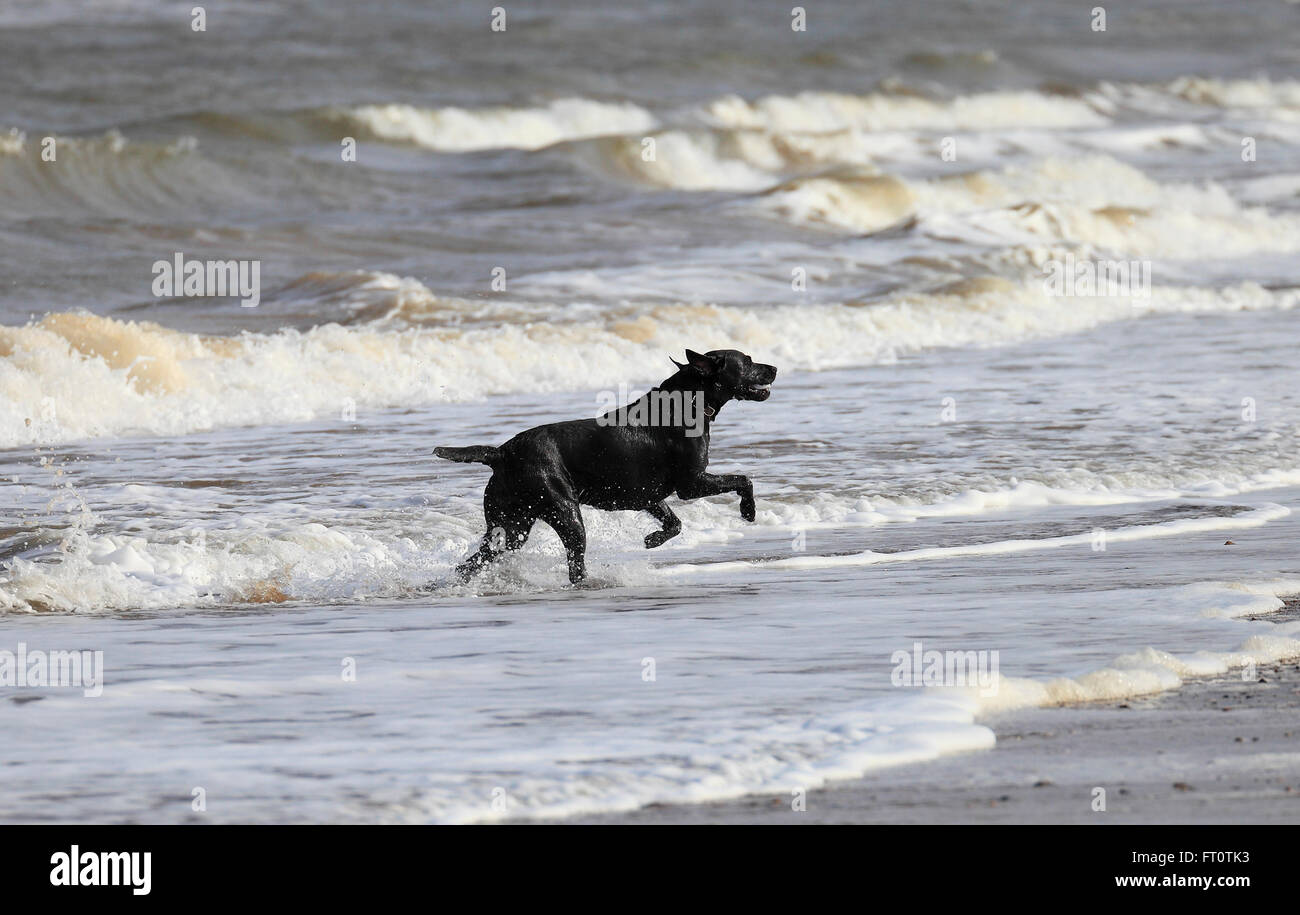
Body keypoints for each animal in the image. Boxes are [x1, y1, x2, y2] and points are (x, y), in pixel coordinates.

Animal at [436, 350, 774, 587]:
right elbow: (743, 479)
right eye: (747, 360)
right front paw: (748, 512)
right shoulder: (692, 484)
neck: (686, 402)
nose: (774, 369)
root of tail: (502, 452)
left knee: (475, 561)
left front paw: (653, 539)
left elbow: (675, 523)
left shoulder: (647, 496)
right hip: (565, 512)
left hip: (510, 526)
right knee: (575, 565)